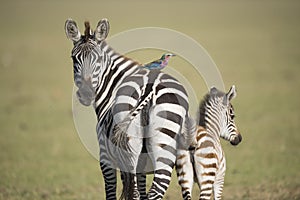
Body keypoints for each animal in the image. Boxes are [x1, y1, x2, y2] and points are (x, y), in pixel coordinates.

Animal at [64, 18, 196, 200]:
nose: (86, 93)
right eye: (74, 58)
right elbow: (142, 191)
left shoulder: (106, 158)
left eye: (98, 59)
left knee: (141, 192)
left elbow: (111, 191)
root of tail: (148, 88)